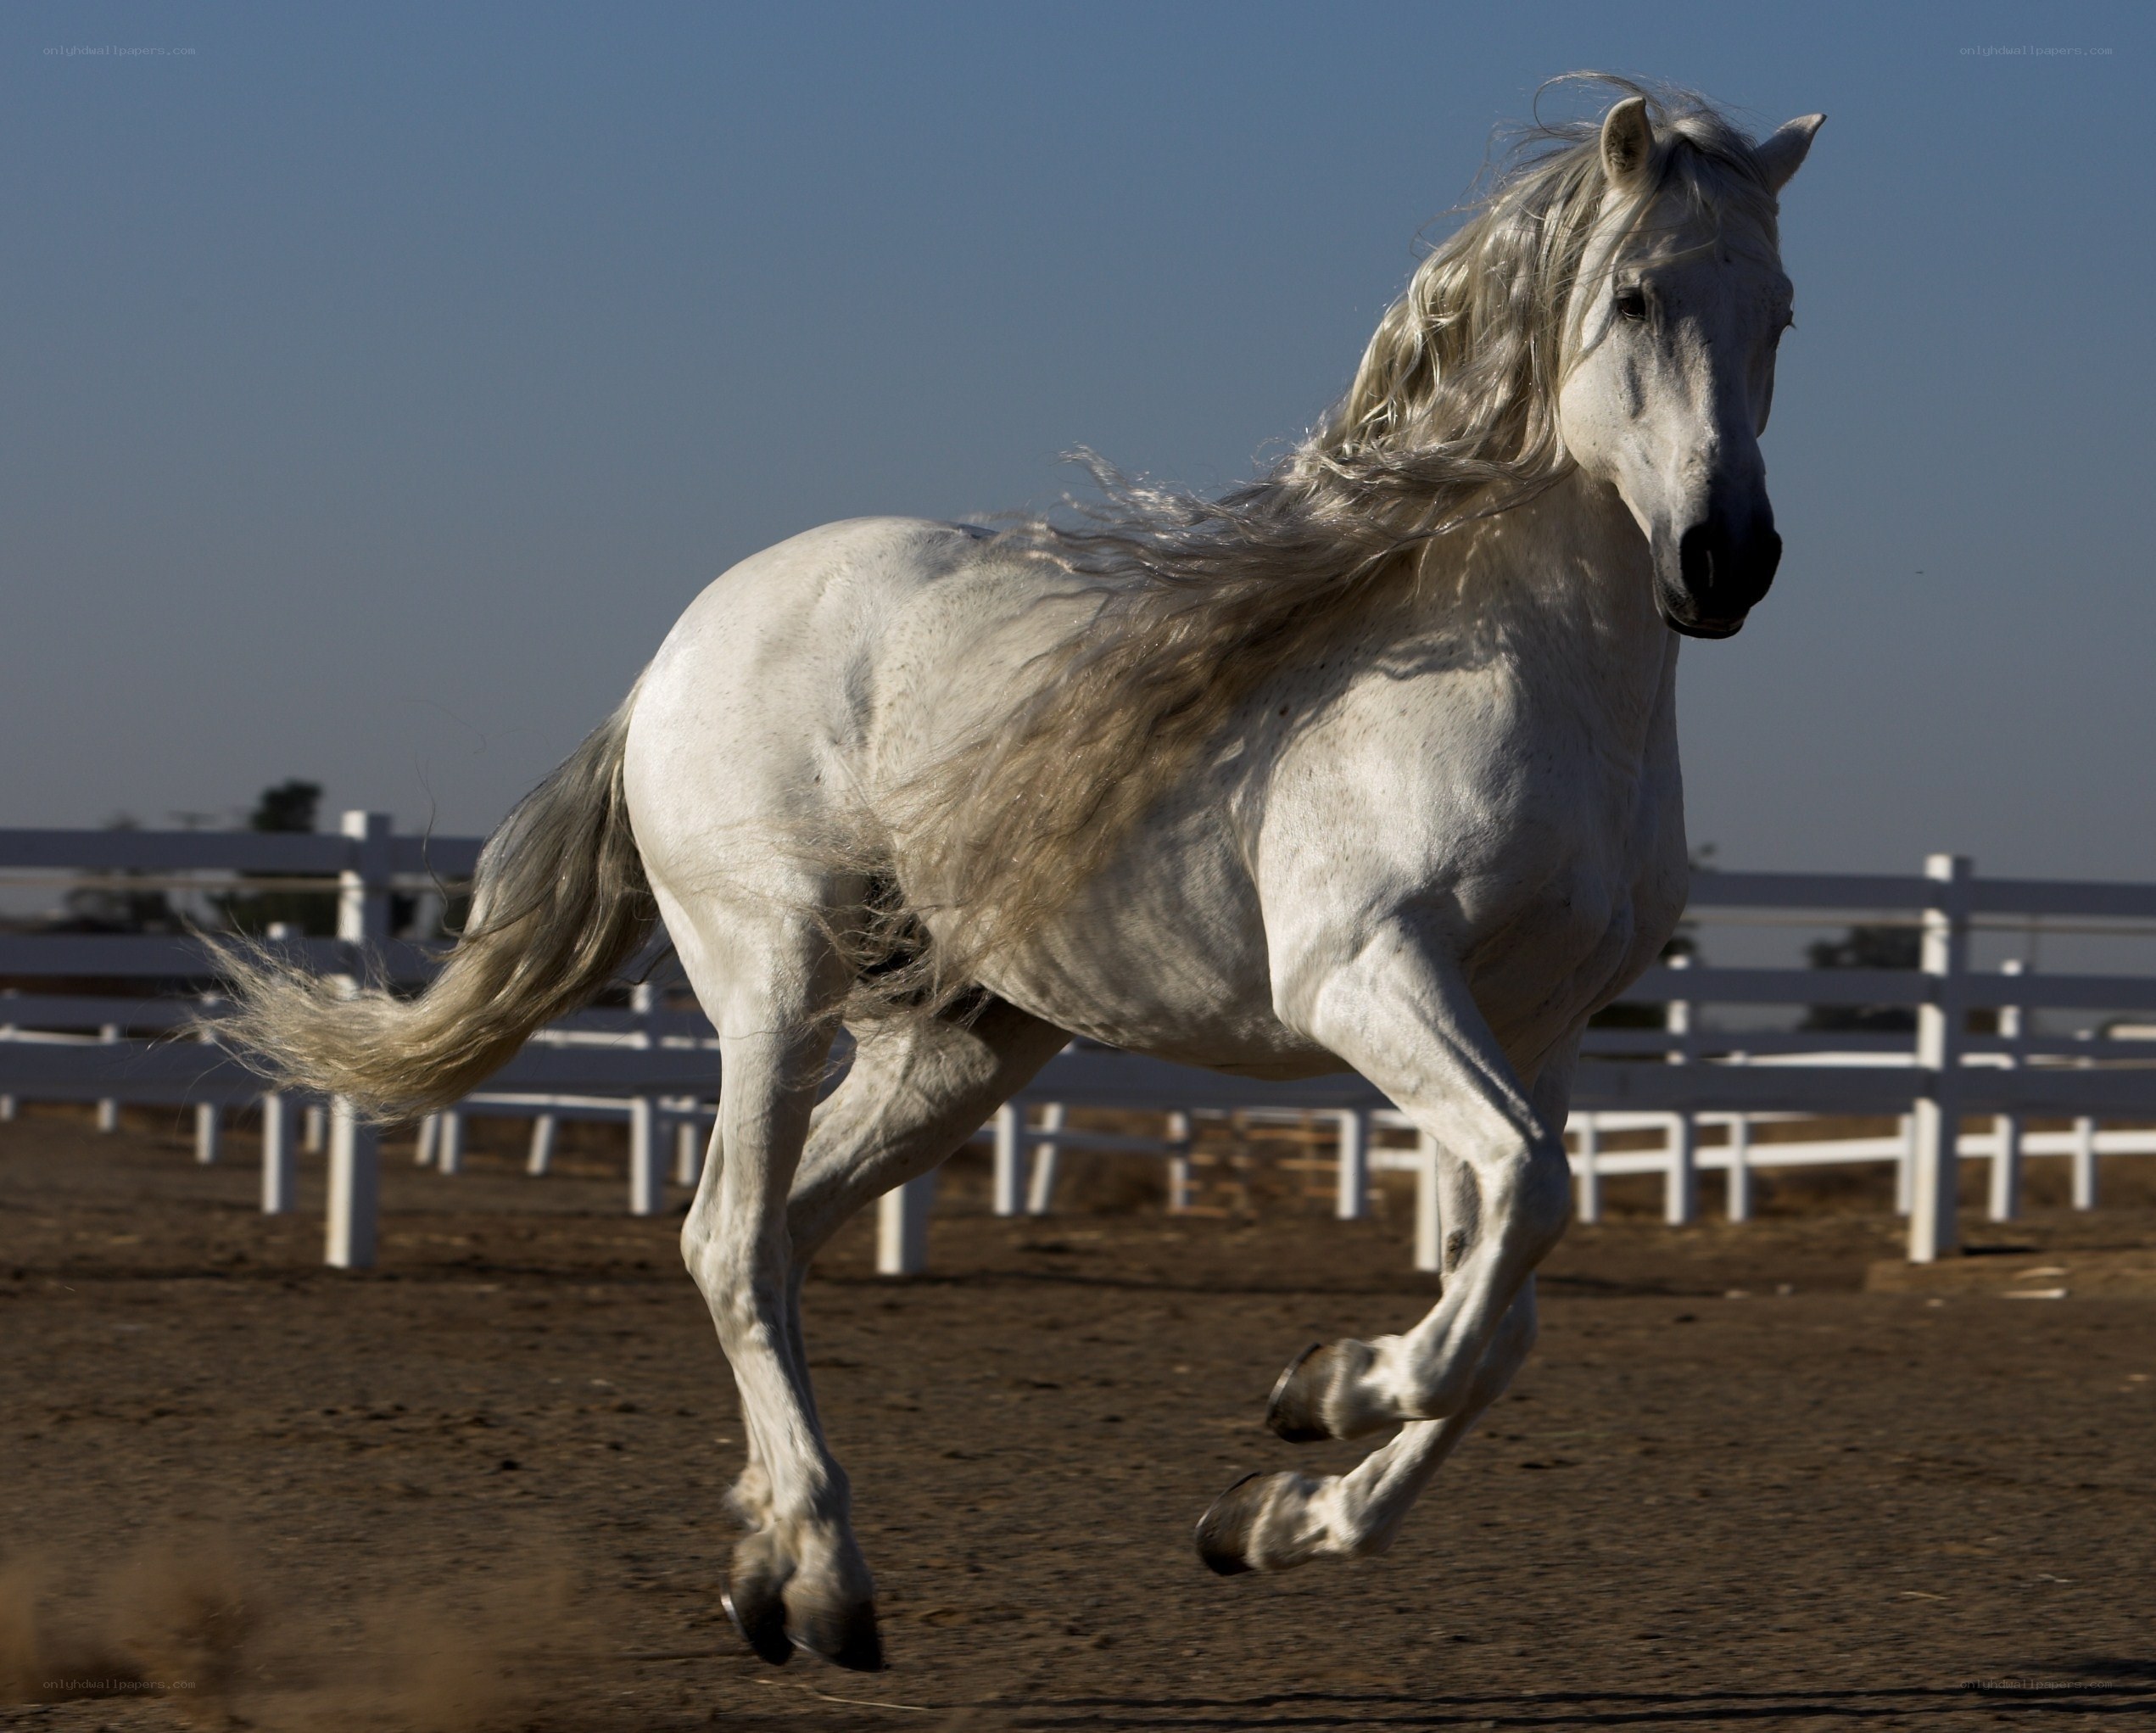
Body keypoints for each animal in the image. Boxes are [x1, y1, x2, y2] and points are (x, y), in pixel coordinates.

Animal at [219, 78, 1821, 1673]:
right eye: (1635, 294)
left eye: (1783, 311)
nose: (1724, 561)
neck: (1540, 687)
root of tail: (675, 651)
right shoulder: (1366, 974)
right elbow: (1520, 1217)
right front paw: (1331, 1388)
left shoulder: (1540, 1030)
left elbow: (1510, 1298)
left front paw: (1277, 1509)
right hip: (773, 983)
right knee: (728, 1236)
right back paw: (825, 1579)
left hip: (961, 1048)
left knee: (780, 1238)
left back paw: (764, 1561)